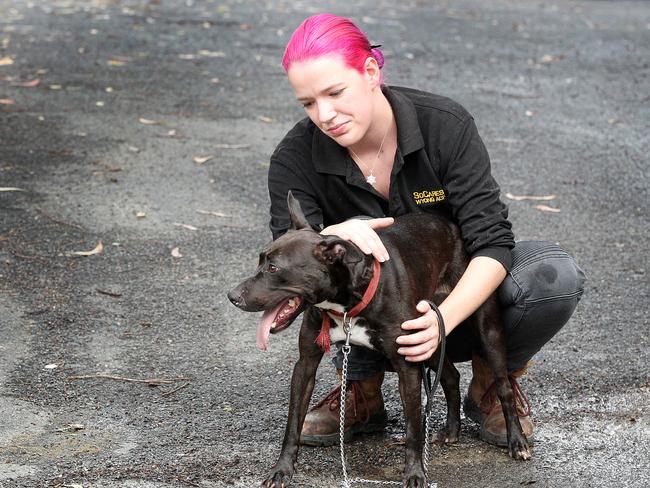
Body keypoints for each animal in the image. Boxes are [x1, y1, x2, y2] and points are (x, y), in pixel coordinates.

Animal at [227, 192, 528, 488]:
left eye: (274, 268)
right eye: (260, 260)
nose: (232, 296)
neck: (348, 302)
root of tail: (453, 228)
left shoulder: (408, 366)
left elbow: (413, 428)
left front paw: (415, 474)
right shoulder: (305, 365)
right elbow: (292, 423)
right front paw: (282, 470)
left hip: (485, 330)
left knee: (502, 385)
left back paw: (516, 440)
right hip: (429, 335)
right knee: (451, 376)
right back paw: (452, 429)